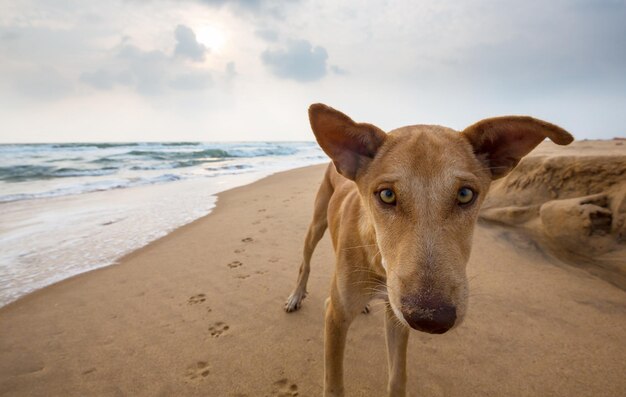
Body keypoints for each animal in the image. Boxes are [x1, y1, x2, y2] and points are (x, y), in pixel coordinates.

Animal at [282, 103, 572, 394]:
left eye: (465, 194)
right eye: (386, 195)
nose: (431, 319)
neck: (379, 260)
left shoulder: (396, 315)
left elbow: (397, 378)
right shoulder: (336, 316)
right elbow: (334, 384)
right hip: (316, 224)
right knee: (304, 262)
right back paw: (296, 296)